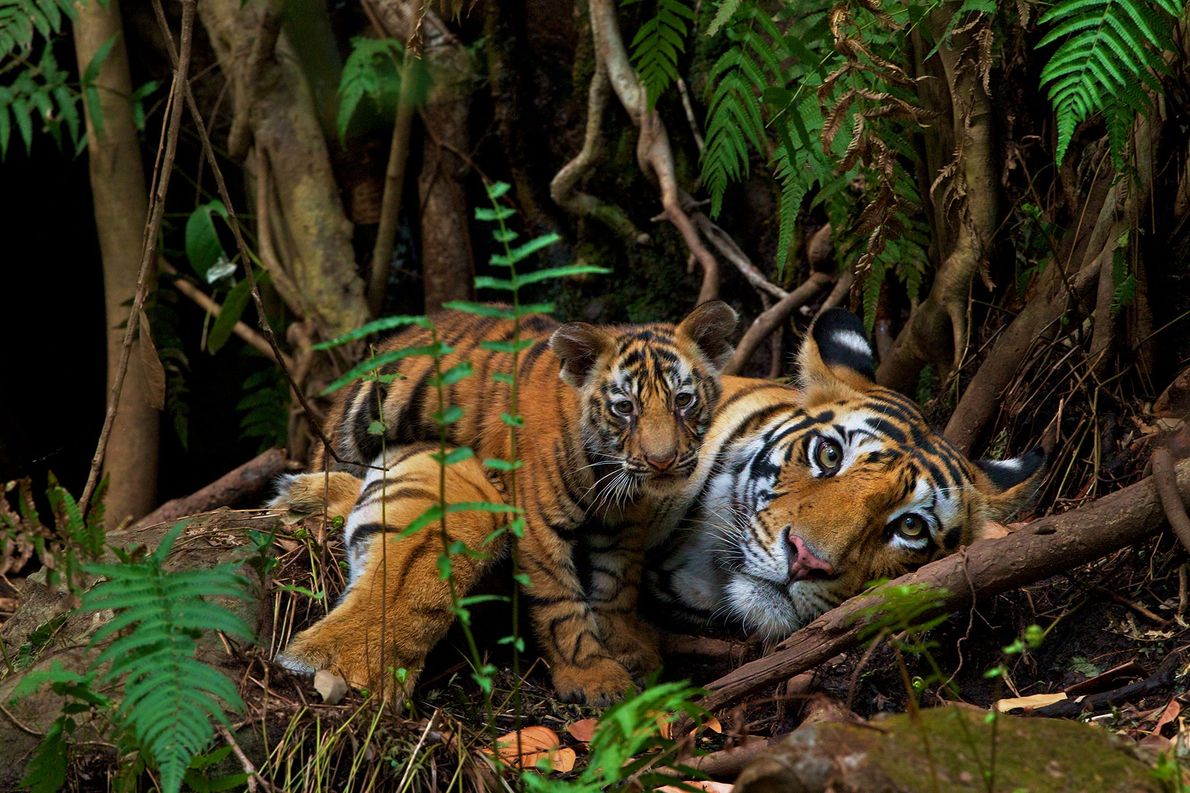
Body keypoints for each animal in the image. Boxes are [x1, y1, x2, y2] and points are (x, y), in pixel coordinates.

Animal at [287, 302, 739, 705]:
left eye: (683, 400)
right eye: (624, 407)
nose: (662, 460)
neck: (608, 472)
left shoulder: (623, 523)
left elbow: (618, 584)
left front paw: (628, 646)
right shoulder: (539, 525)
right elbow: (560, 603)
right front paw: (593, 677)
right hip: (353, 431)